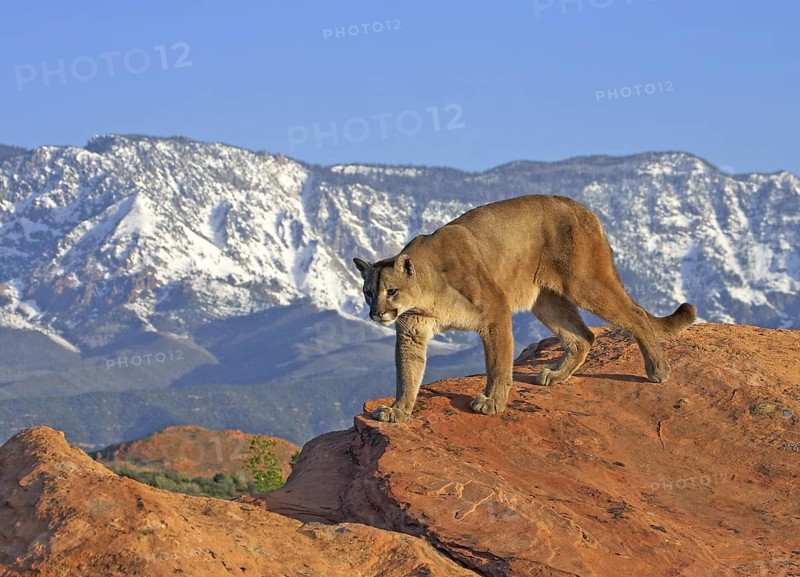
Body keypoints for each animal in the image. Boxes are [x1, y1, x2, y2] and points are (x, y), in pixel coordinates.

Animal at [353, 195, 696, 423]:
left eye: (391, 291)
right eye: (368, 292)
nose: (376, 314)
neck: (426, 291)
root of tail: (584, 208)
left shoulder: (495, 311)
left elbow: (498, 364)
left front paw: (491, 402)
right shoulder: (412, 332)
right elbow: (407, 374)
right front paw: (398, 410)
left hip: (584, 282)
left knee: (635, 315)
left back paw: (658, 370)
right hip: (546, 299)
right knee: (583, 336)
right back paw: (556, 375)